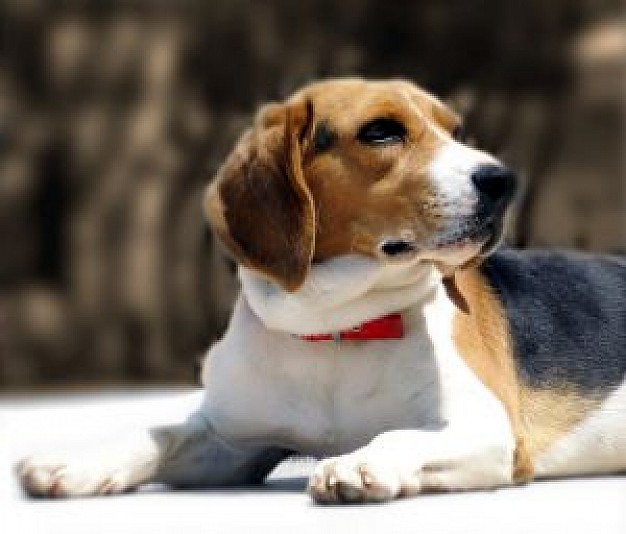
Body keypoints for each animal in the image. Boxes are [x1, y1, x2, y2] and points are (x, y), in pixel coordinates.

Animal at [17, 78, 620, 502]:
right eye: (381, 131)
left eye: (454, 131)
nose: (504, 181)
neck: (337, 329)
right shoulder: (233, 441)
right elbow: (161, 432)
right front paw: (73, 463)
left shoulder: (489, 431)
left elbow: (401, 436)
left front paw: (358, 462)